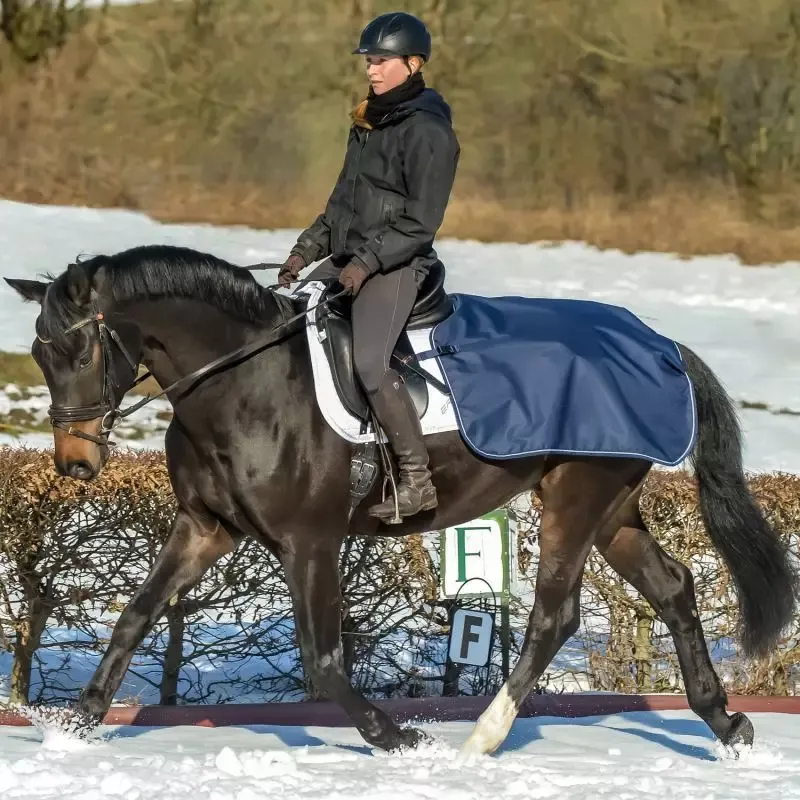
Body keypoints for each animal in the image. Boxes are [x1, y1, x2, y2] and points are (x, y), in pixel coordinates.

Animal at [4, 244, 796, 756]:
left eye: (80, 351)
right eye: (41, 355)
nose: (75, 464)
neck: (243, 383)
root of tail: (658, 343)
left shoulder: (309, 541)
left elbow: (323, 657)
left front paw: (394, 734)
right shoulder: (205, 527)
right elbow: (135, 616)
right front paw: (78, 723)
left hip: (578, 495)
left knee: (554, 617)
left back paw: (481, 738)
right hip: (612, 506)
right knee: (674, 587)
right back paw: (725, 723)